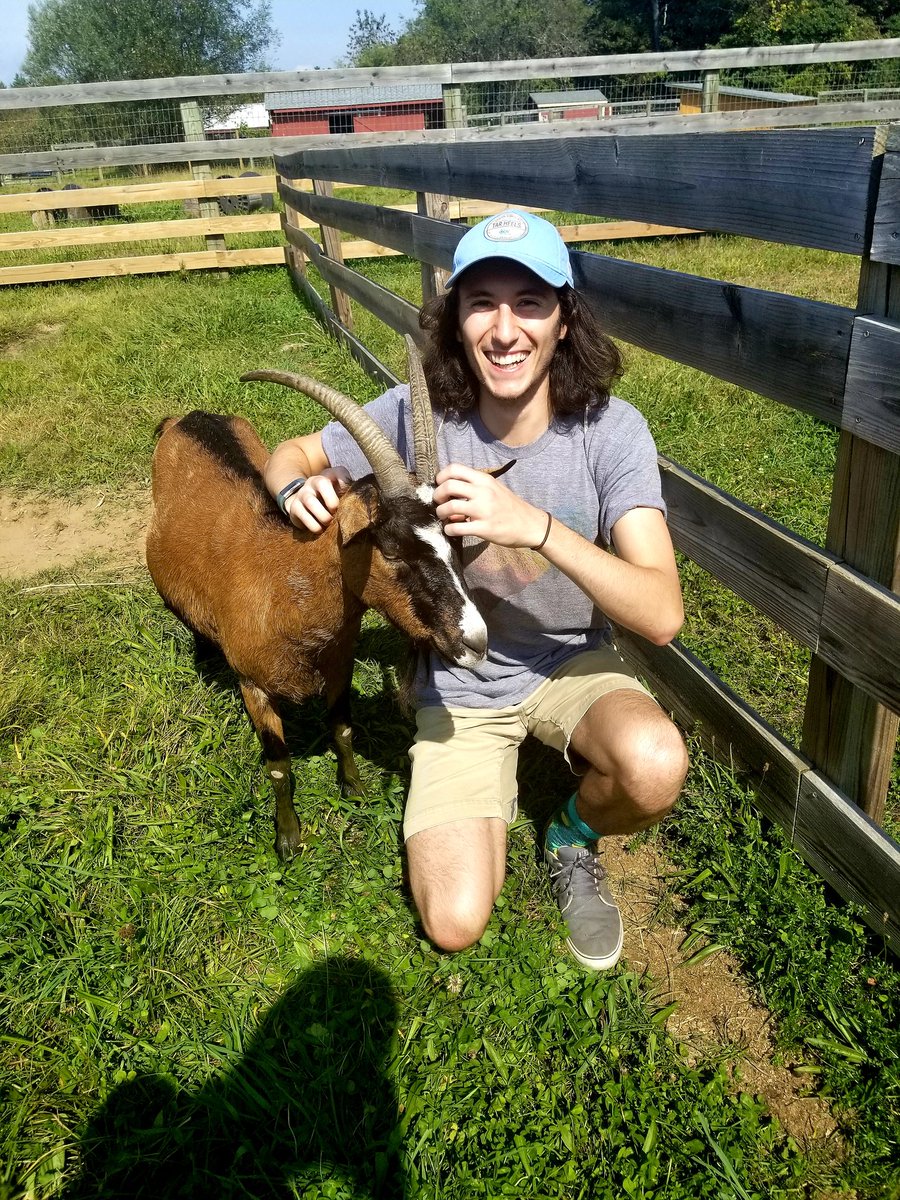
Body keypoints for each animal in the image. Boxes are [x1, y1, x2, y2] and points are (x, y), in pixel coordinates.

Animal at [146, 338, 488, 860]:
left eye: (456, 540)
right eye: (391, 548)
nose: (475, 640)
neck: (283, 584)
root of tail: (182, 420)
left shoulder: (339, 666)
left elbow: (342, 728)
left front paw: (354, 787)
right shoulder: (253, 686)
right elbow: (278, 764)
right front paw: (288, 838)